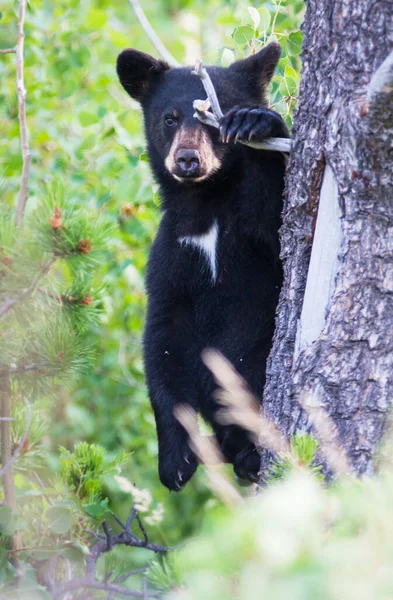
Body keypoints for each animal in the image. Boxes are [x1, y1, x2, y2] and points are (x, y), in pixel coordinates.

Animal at [116, 43, 288, 492]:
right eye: (170, 117)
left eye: (217, 115)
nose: (188, 159)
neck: (207, 208)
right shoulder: (173, 253)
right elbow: (162, 340)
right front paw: (174, 461)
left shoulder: (254, 236)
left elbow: (283, 217)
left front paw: (256, 122)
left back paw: (249, 455)